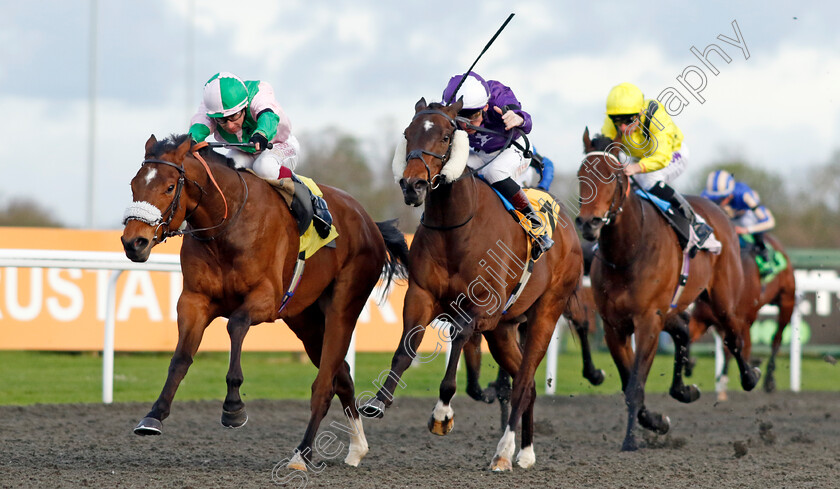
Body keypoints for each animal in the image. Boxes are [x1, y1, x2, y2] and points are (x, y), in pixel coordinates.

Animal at [120, 132, 408, 468]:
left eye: (168, 187)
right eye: (134, 184)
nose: (134, 242)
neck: (227, 224)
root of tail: (370, 223)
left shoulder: (266, 299)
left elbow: (236, 324)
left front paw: (233, 407)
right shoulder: (194, 300)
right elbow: (180, 358)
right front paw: (154, 415)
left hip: (343, 307)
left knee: (324, 385)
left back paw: (302, 453)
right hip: (307, 321)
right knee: (342, 377)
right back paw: (357, 448)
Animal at [360, 98, 584, 468]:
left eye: (446, 135)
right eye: (408, 133)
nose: (412, 185)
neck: (456, 228)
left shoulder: (484, 308)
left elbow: (460, 335)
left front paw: (442, 413)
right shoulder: (421, 296)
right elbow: (406, 347)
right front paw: (378, 401)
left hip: (545, 314)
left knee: (524, 381)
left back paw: (504, 451)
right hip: (504, 331)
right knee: (528, 384)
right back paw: (525, 451)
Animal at [576, 130, 760, 450]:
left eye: (612, 176)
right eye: (580, 175)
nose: (589, 223)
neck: (628, 251)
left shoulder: (648, 320)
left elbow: (635, 384)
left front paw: (631, 440)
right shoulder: (614, 326)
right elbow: (628, 382)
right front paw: (655, 421)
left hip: (722, 298)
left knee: (733, 333)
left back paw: (750, 375)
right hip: (673, 306)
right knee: (684, 329)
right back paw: (684, 390)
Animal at [684, 231, 796, 394]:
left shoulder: (742, 320)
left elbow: (738, 346)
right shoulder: (703, 319)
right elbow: (690, 336)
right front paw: (689, 365)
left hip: (787, 301)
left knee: (776, 339)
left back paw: (768, 380)